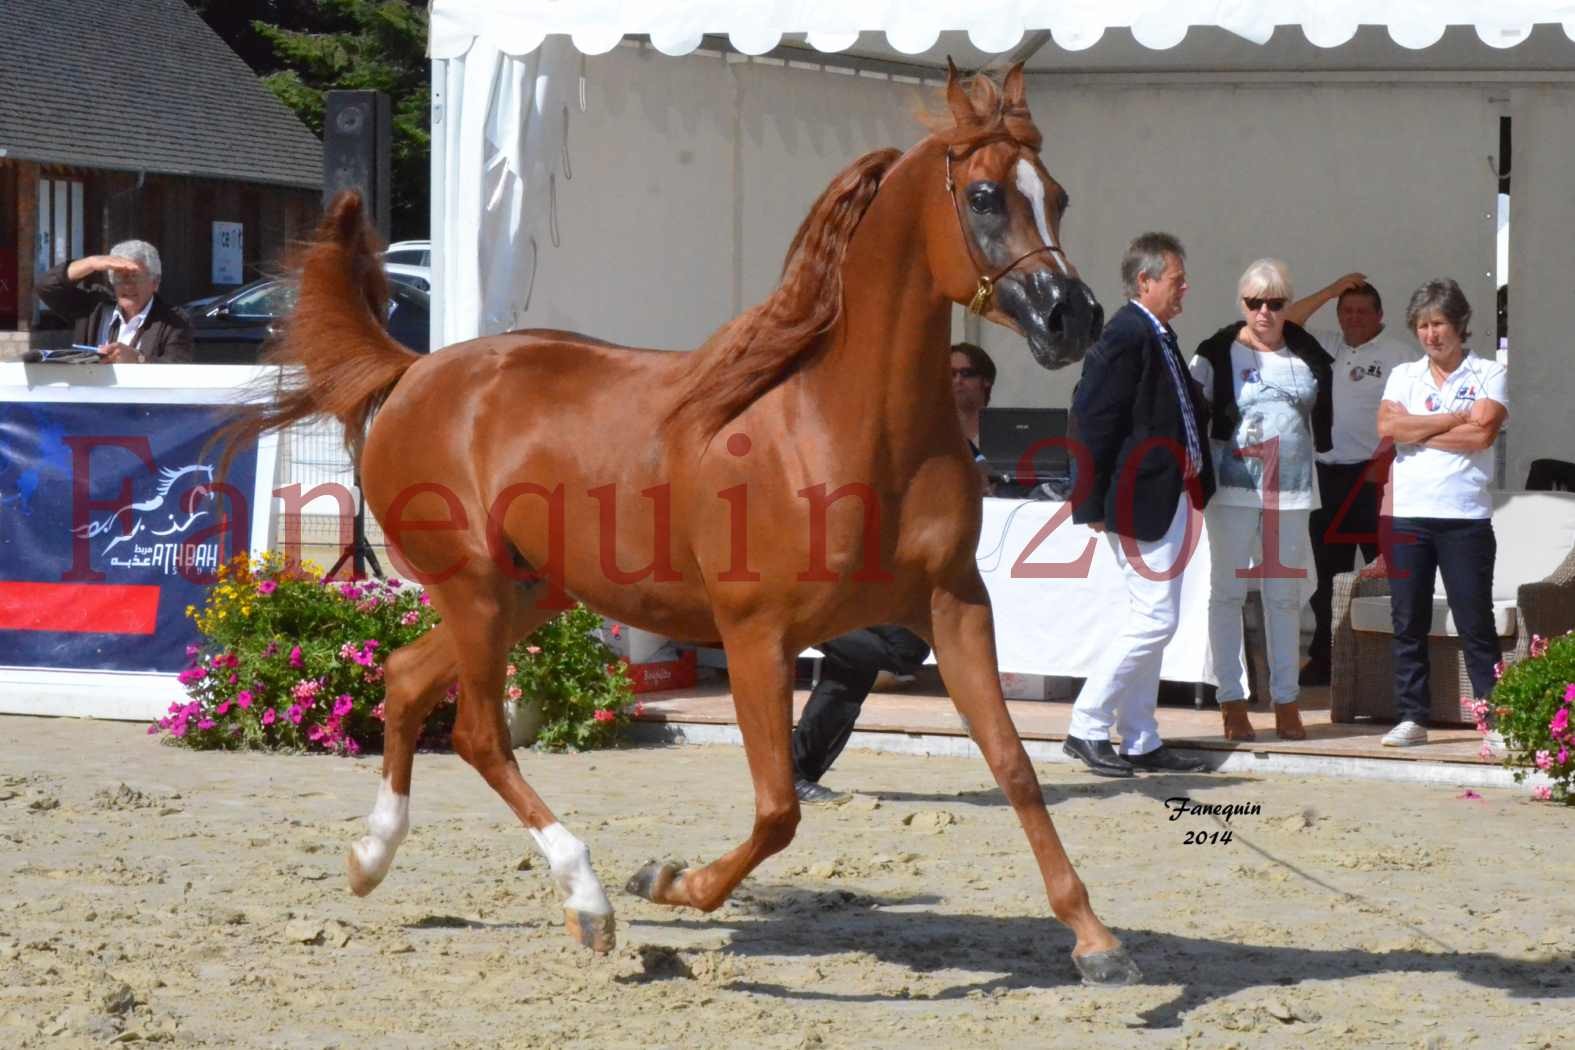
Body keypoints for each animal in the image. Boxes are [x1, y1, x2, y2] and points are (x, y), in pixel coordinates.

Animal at [233, 65, 1140, 988]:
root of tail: (414, 371)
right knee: (481, 734)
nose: (1072, 317)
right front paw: (667, 882)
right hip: (475, 587)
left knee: (406, 675)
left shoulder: (953, 607)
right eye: (985, 195)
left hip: (528, 592)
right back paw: (589, 900)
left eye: (1056, 195)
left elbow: (1014, 766)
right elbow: (778, 810)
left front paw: (1095, 940)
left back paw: (370, 860)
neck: (841, 426)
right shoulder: (756, 635)